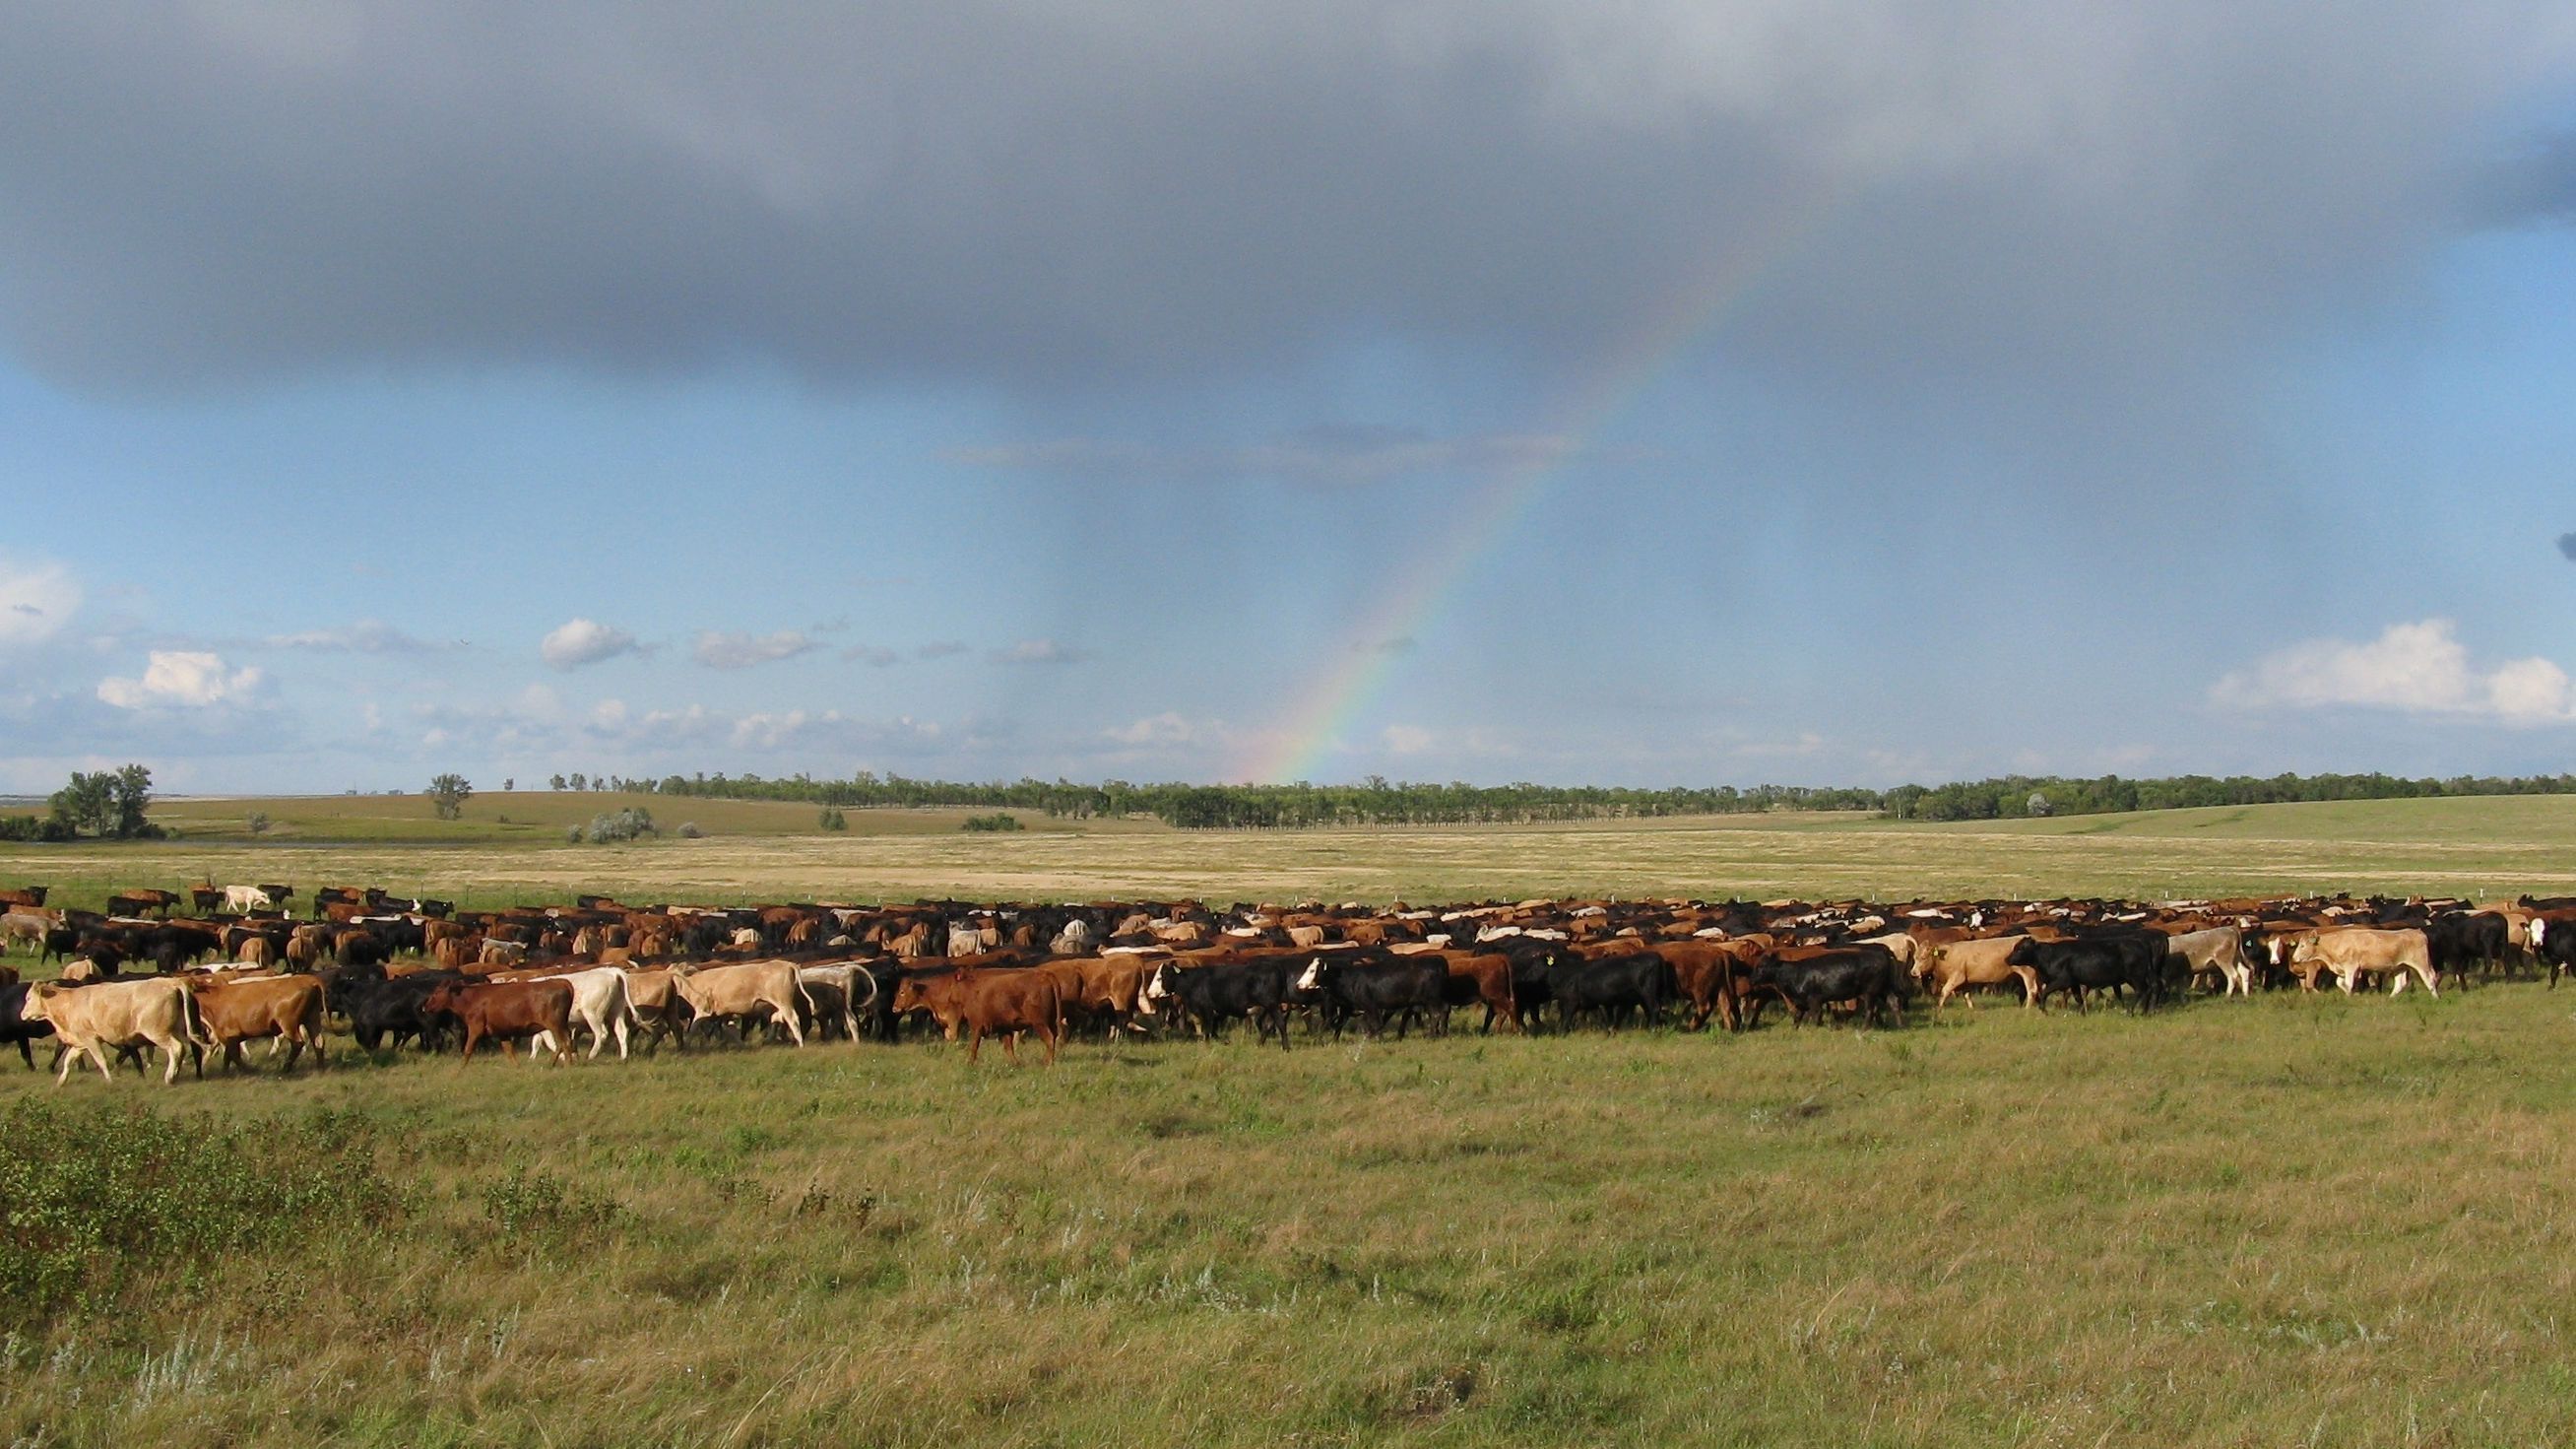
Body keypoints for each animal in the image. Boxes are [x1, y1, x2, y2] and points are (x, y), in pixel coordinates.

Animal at [190, 969, 329, 1072]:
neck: (215, 999)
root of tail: (307, 979)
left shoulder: (230, 1035)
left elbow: (234, 1056)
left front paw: (249, 1070)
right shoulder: (226, 1037)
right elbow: (227, 1057)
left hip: (288, 1024)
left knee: (297, 1043)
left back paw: (285, 1069)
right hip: (312, 1018)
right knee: (318, 1041)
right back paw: (320, 1069)